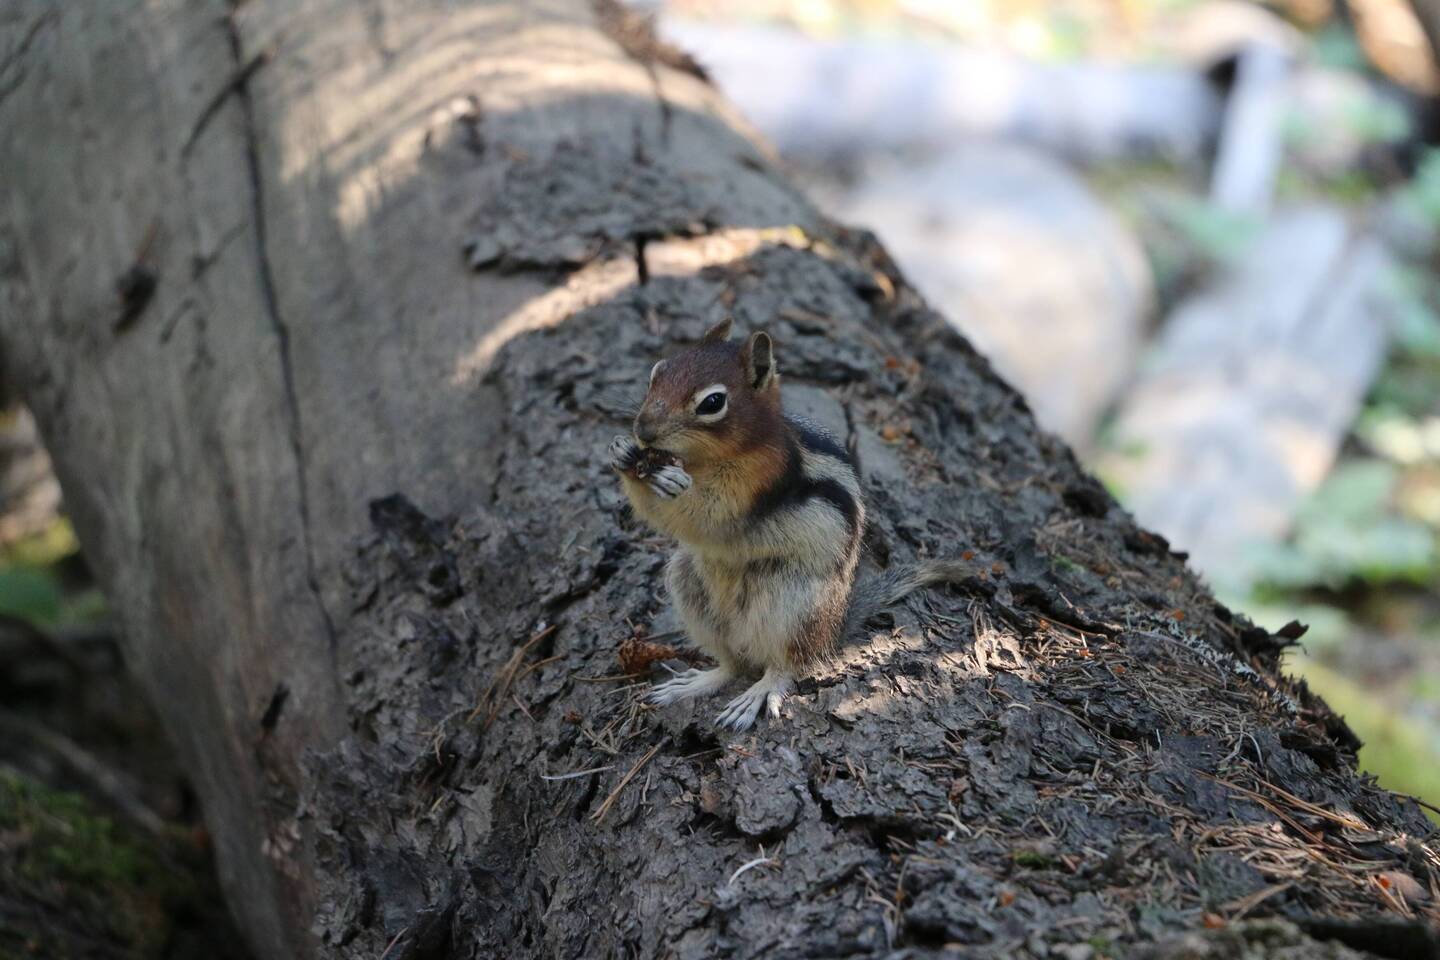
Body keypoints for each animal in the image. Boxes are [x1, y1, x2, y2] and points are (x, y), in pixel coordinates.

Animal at [608, 317, 967, 730]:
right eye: (658, 371)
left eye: (712, 403)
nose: (643, 430)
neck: (711, 460)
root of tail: (834, 629)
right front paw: (623, 453)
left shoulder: (753, 486)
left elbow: (708, 516)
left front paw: (662, 479)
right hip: (690, 584)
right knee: (732, 664)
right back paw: (695, 683)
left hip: (793, 603)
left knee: (788, 664)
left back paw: (759, 692)